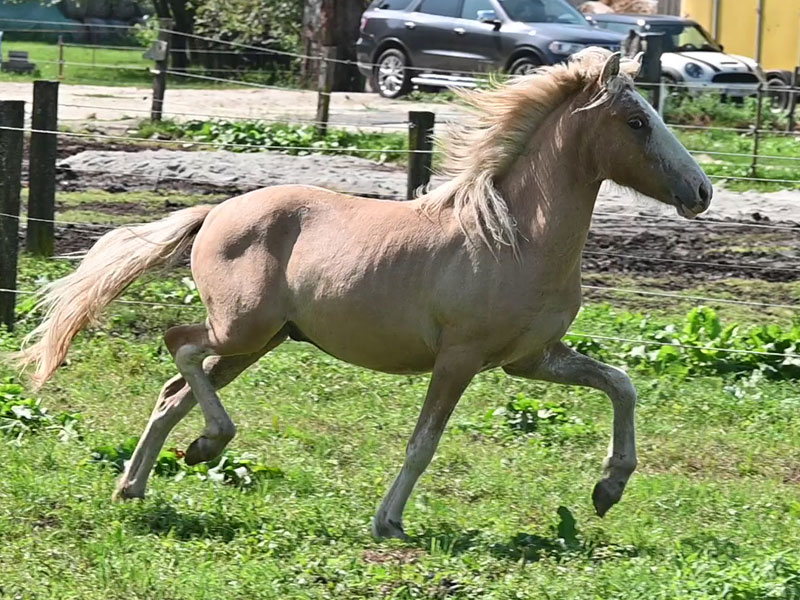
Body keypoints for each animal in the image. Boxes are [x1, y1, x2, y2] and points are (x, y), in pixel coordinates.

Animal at [11, 49, 712, 540]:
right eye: (636, 122)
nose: (702, 192)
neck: (513, 236)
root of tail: (214, 213)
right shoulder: (459, 358)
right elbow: (424, 442)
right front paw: (389, 523)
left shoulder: (532, 359)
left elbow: (621, 384)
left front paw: (608, 489)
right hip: (242, 329)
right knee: (179, 345)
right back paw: (209, 442)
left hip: (256, 344)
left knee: (171, 392)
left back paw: (139, 484)